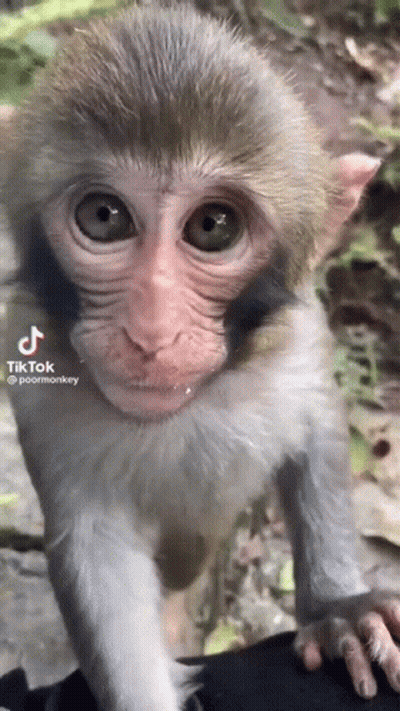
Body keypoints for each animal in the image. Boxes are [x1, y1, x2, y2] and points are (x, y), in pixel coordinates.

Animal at [3, 4, 400, 710]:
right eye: (103, 217)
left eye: (213, 227)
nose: (151, 333)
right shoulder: (35, 377)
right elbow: (98, 549)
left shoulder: (296, 339)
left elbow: (317, 421)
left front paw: (337, 607)